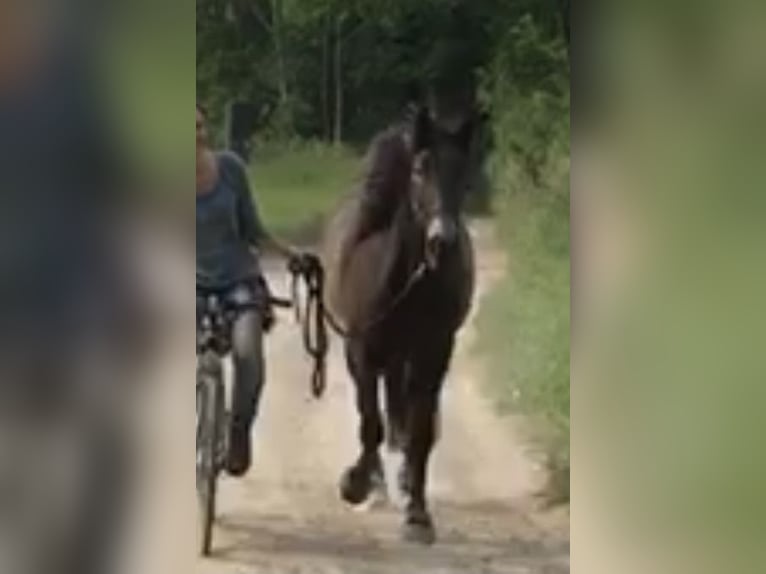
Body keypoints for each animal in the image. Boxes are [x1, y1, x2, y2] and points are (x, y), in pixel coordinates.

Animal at [320, 107, 476, 544]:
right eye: (420, 169)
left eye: (463, 171)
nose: (443, 244)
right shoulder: (360, 349)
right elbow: (369, 420)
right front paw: (356, 483)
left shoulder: (434, 351)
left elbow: (420, 431)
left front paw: (418, 516)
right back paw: (374, 481)